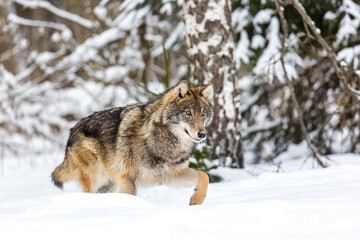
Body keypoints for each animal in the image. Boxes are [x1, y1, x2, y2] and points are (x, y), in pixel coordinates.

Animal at [51, 80, 214, 204]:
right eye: (188, 113)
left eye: (203, 114)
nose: (202, 134)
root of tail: (72, 131)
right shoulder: (128, 178)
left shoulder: (171, 175)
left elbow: (204, 175)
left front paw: (197, 199)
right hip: (94, 175)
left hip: (107, 184)